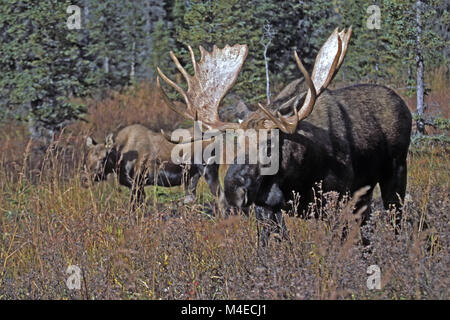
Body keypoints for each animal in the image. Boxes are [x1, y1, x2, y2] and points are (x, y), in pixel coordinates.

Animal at [156, 26, 414, 245]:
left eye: (270, 142)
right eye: (236, 143)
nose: (232, 190)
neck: (297, 177)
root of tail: (404, 105)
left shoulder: (336, 201)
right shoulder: (267, 208)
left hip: (396, 172)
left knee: (395, 220)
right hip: (366, 192)